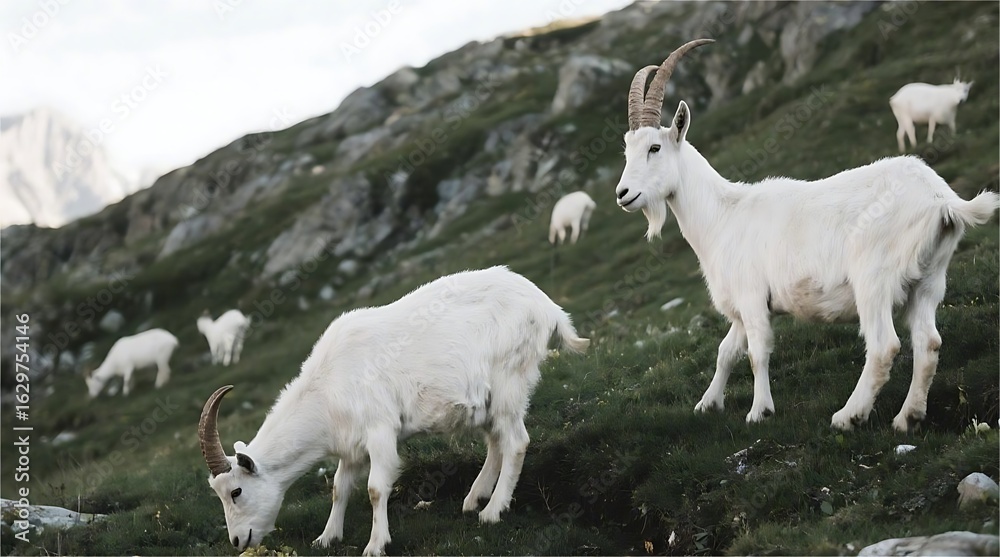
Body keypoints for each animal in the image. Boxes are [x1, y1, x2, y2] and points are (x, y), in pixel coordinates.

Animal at [197, 266, 589, 556]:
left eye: (236, 491)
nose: (238, 540)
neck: (327, 385)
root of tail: (547, 306)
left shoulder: (380, 430)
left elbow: (374, 488)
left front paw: (375, 544)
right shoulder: (350, 444)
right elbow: (339, 487)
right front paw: (327, 537)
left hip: (510, 379)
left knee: (517, 441)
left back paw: (492, 512)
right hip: (487, 399)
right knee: (497, 440)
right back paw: (474, 499)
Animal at [613, 39, 999, 432]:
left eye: (655, 148)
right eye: (627, 150)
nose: (623, 194)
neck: (723, 215)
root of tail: (942, 200)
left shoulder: (752, 297)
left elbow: (756, 353)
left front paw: (759, 411)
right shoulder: (743, 306)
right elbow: (726, 351)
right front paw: (708, 404)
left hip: (874, 279)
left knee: (883, 346)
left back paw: (848, 416)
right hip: (928, 280)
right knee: (928, 342)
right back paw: (908, 418)